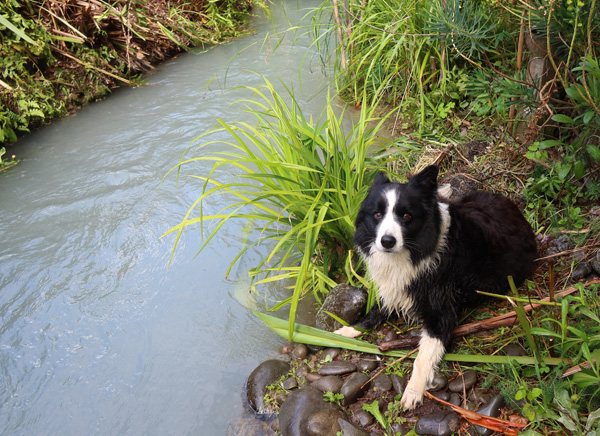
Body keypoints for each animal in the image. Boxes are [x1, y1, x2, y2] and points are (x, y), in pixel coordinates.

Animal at [336, 165, 536, 410]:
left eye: (406, 215)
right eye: (377, 215)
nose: (387, 241)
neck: (417, 249)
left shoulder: (440, 313)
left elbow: (423, 356)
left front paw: (413, 391)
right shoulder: (396, 289)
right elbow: (372, 313)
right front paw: (345, 331)